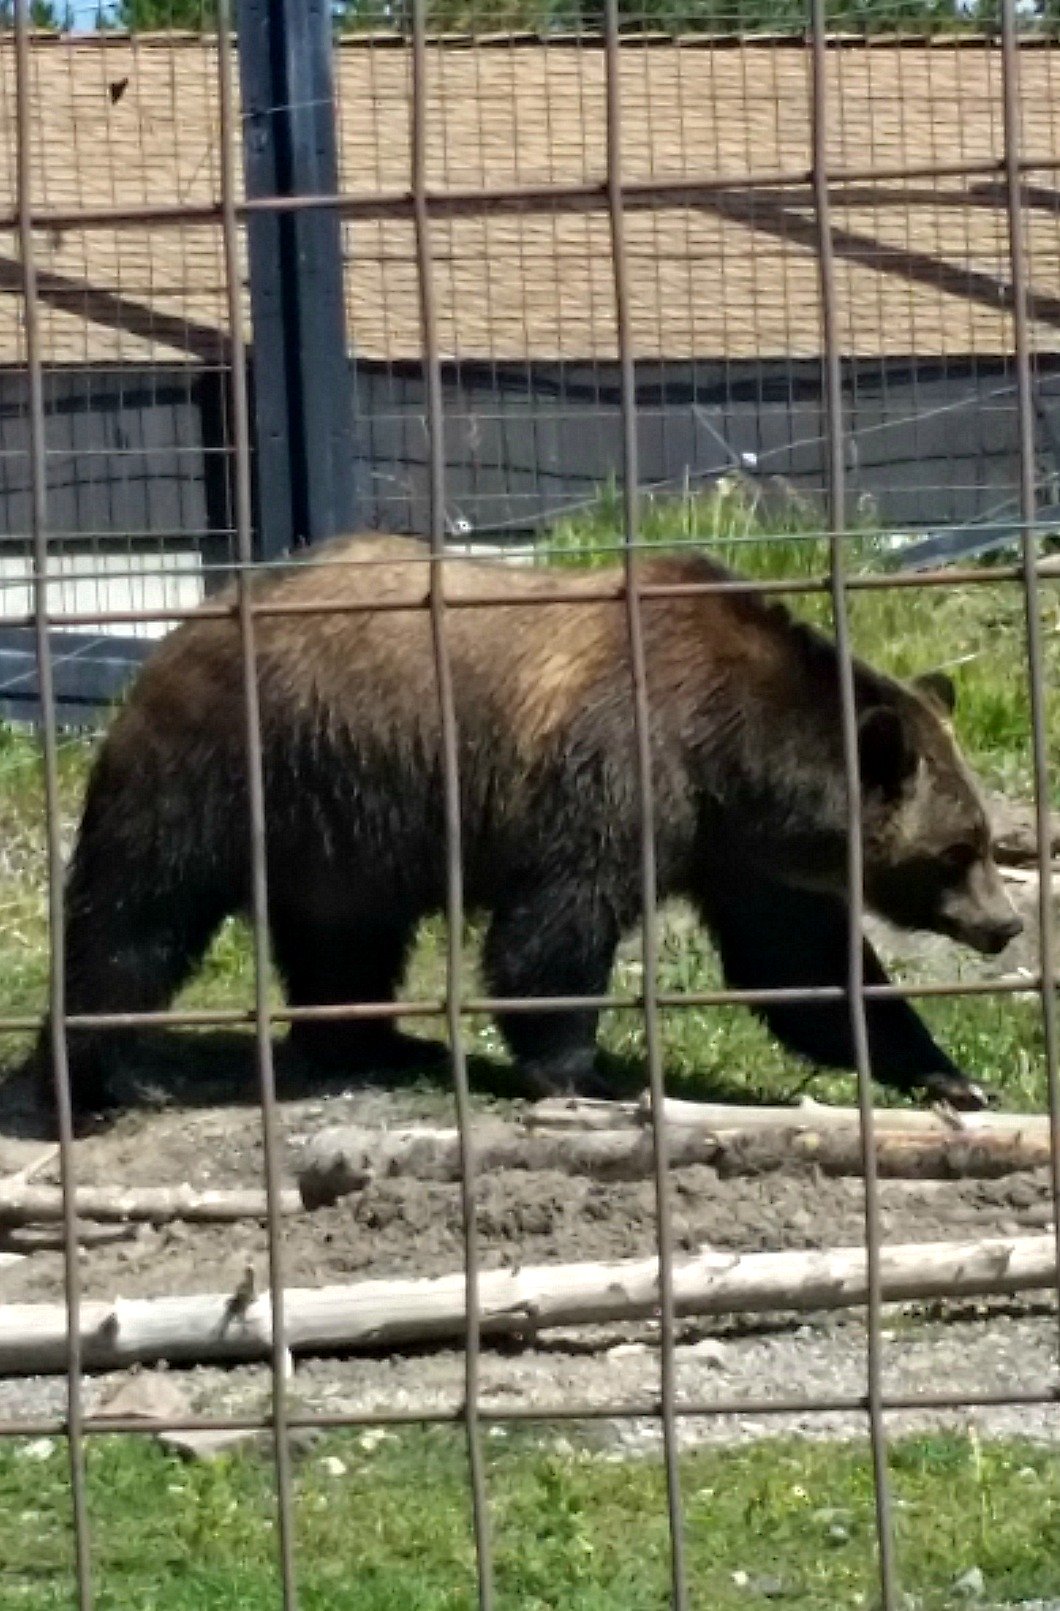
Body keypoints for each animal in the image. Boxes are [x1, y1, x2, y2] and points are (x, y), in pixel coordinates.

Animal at [37, 528, 1018, 1121]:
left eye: (982, 837)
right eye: (959, 848)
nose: (1004, 924)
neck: (734, 753)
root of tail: (170, 635)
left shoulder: (739, 852)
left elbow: (802, 964)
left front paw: (948, 1071)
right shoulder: (617, 770)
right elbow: (556, 928)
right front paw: (586, 1072)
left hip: (339, 821)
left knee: (344, 938)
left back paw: (380, 1040)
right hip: (224, 764)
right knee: (137, 915)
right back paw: (115, 1076)